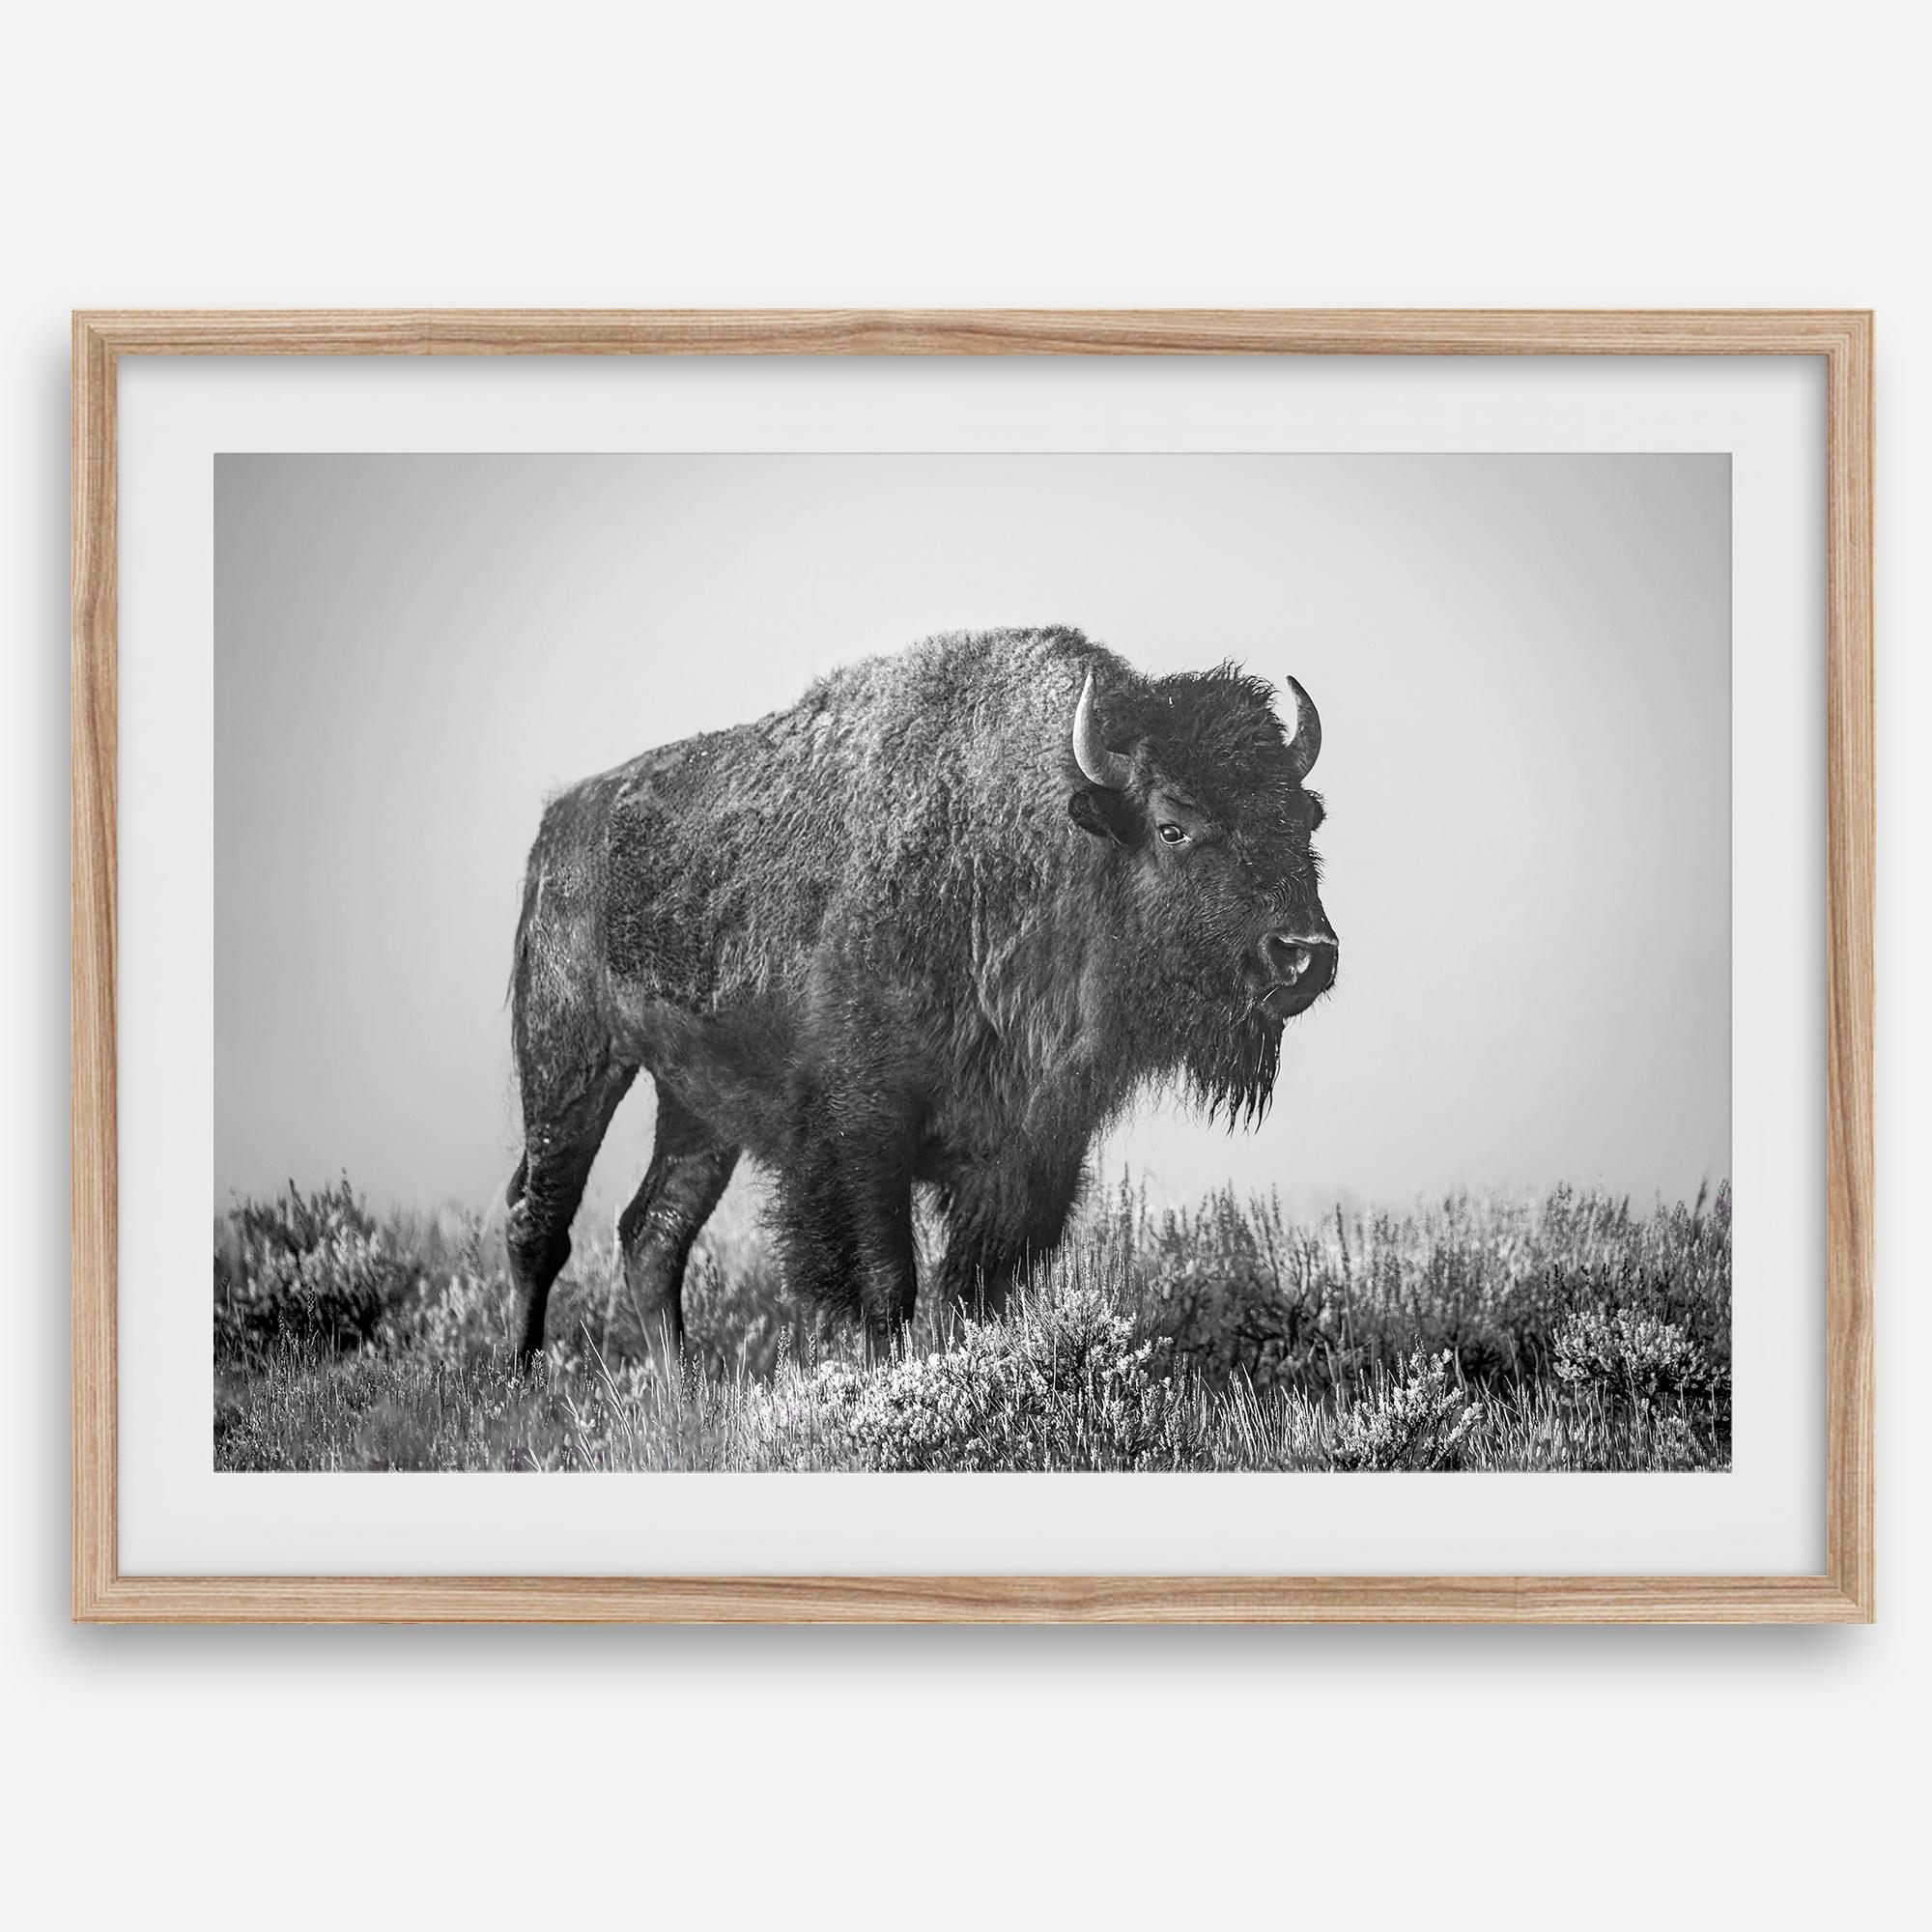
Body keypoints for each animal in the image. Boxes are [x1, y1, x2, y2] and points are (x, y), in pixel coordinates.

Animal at [506, 625, 1337, 1360]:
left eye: (1304, 817)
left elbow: (978, 1292)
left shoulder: (1028, 1155)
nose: (1305, 956)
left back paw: (678, 1395)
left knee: (655, 1232)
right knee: (539, 1220)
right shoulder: (861, 1134)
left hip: (696, 1106)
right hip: (570, 1063)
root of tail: (561, 820)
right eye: (1172, 827)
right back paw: (522, 1384)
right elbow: (883, 1288)